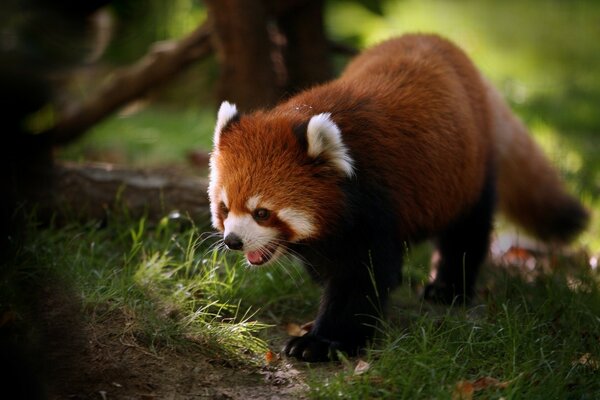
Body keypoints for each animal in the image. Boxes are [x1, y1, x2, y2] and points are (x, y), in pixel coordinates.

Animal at [209, 34, 588, 362]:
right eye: (225, 208)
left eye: (262, 212)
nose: (233, 241)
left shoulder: (375, 206)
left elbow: (360, 279)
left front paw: (323, 342)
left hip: (468, 173)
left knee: (467, 231)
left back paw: (449, 288)